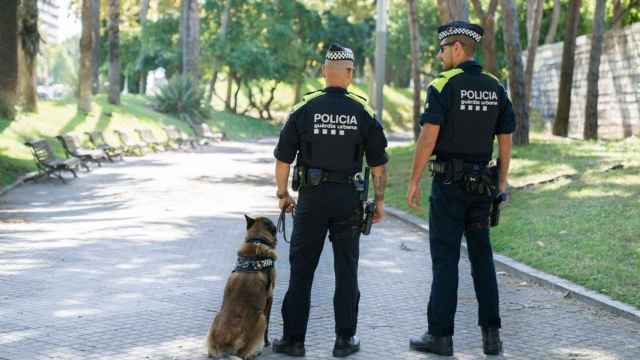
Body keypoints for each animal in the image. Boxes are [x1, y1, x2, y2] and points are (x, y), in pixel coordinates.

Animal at [205, 215, 276, 358]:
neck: (257, 240)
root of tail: (225, 342)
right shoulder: (270, 297)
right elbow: (268, 326)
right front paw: (266, 342)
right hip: (261, 318)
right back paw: (257, 351)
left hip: (216, 316)